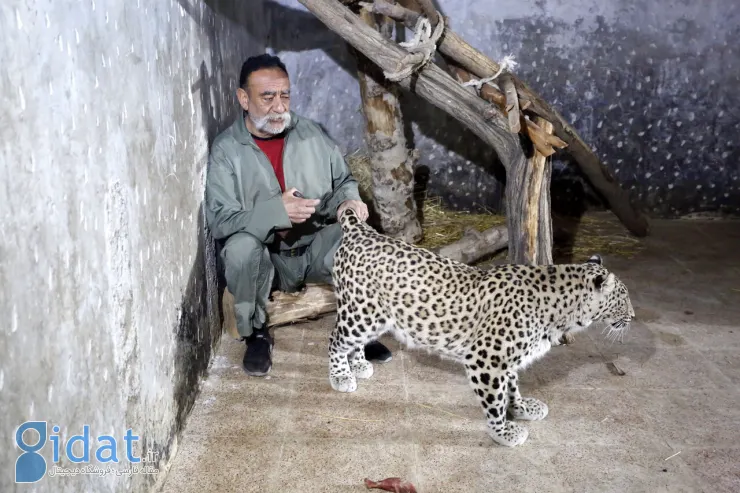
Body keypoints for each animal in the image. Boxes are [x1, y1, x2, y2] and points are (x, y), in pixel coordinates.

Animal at [330, 207, 636, 446]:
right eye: (623, 298)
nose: (633, 316)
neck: (561, 310)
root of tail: (360, 230)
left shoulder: (508, 359)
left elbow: (511, 386)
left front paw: (521, 407)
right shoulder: (486, 359)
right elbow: (495, 399)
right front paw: (504, 431)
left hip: (368, 317)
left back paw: (358, 365)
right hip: (362, 312)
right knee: (335, 339)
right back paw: (341, 376)